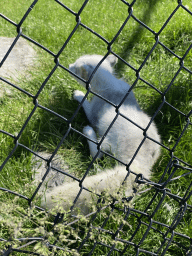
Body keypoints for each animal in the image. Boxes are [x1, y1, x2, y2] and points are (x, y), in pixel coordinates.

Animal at [41, 55, 160, 215]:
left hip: (107, 136)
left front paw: (77, 94)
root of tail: (143, 162)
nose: (69, 64)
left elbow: (85, 102)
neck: (110, 84)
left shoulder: (93, 112)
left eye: (74, 68)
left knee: (97, 154)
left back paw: (87, 130)